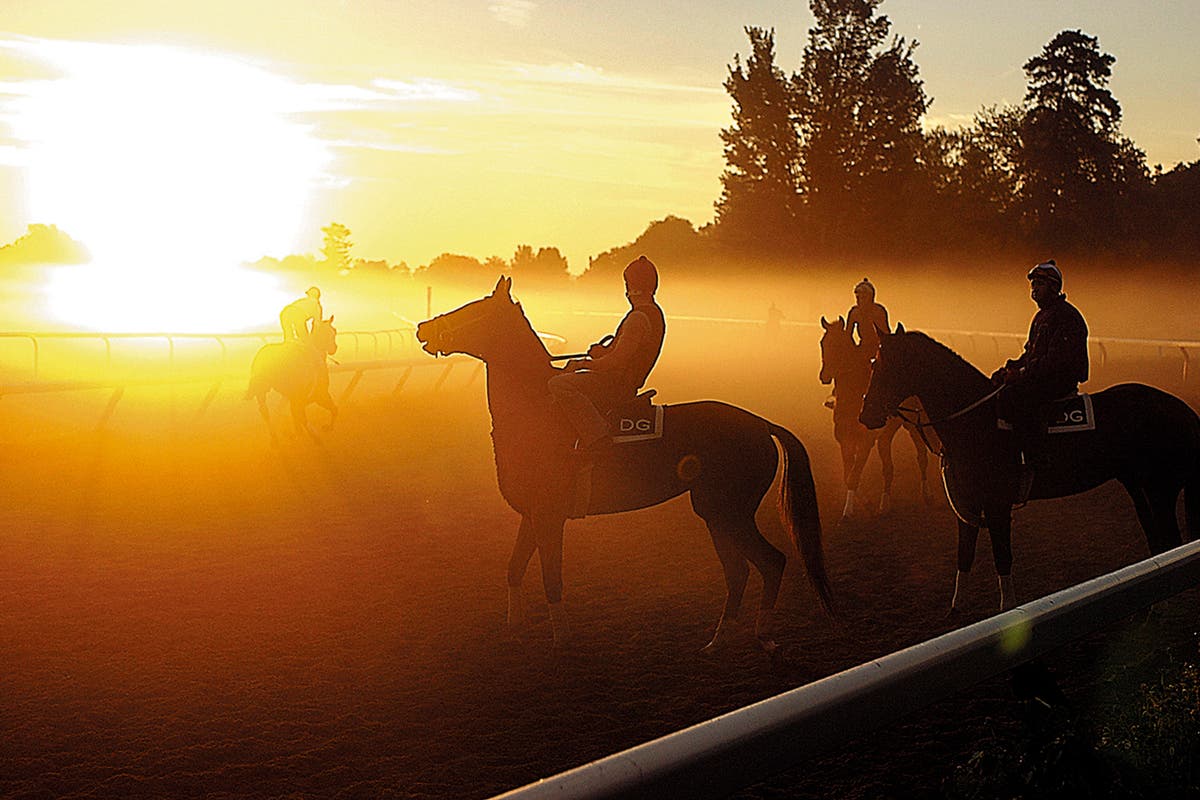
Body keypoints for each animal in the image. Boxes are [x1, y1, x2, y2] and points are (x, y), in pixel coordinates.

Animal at [243, 314, 338, 443]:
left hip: (261, 390)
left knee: (264, 411)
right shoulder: (319, 395)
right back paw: (315, 437)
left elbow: (296, 419)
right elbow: (334, 409)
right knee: (303, 418)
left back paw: (275, 439)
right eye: (333, 331)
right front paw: (328, 428)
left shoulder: (294, 399)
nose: (334, 348)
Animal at [415, 275, 835, 652]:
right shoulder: (531, 515)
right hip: (715, 514)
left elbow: (552, 579)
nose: (423, 328)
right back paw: (717, 641)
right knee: (739, 572)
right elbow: (514, 568)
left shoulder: (550, 517)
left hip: (728, 512)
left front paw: (561, 640)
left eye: (473, 309)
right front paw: (515, 629)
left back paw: (761, 636)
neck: (538, 413)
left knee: (771, 561)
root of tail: (761, 423)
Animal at [816, 316, 936, 522]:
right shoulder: (844, 438)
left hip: (913, 426)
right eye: (823, 343)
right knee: (888, 468)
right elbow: (848, 473)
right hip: (886, 435)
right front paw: (866, 503)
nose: (824, 376)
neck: (853, 393)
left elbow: (854, 474)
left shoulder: (866, 439)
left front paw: (848, 510)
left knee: (921, 456)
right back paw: (884, 505)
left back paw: (927, 495)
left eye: (838, 345)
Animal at [864, 326, 1200, 614]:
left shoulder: (997, 506)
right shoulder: (967, 505)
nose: (865, 414)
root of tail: (1185, 410)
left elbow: (1002, 557)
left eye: (883, 366)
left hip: (1161, 488)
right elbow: (964, 555)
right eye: (873, 363)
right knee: (1156, 540)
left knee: (1170, 540)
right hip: (1136, 485)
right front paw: (956, 612)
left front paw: (1007, 610)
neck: (978, 421)